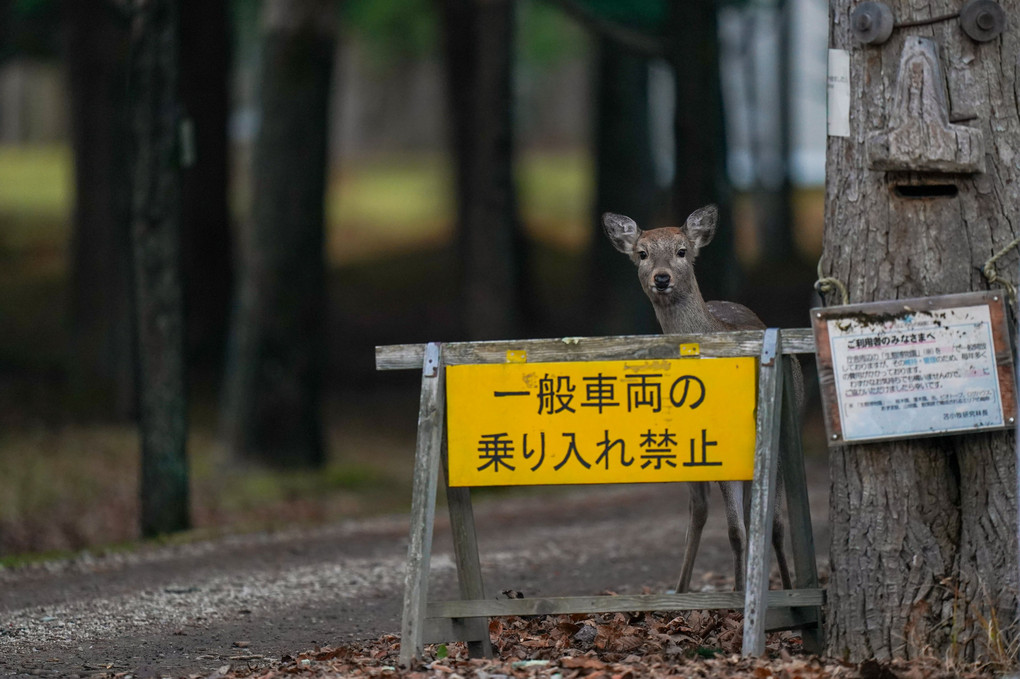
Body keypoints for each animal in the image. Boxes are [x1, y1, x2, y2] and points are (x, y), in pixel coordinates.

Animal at [603, 201, 795, 591]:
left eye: (682, 251)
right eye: (642, 253)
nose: (662, 278)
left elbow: (774, 524)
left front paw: (786, 588)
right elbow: (735, 530)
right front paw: (737, 591)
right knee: (700, 509)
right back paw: (681, 588)